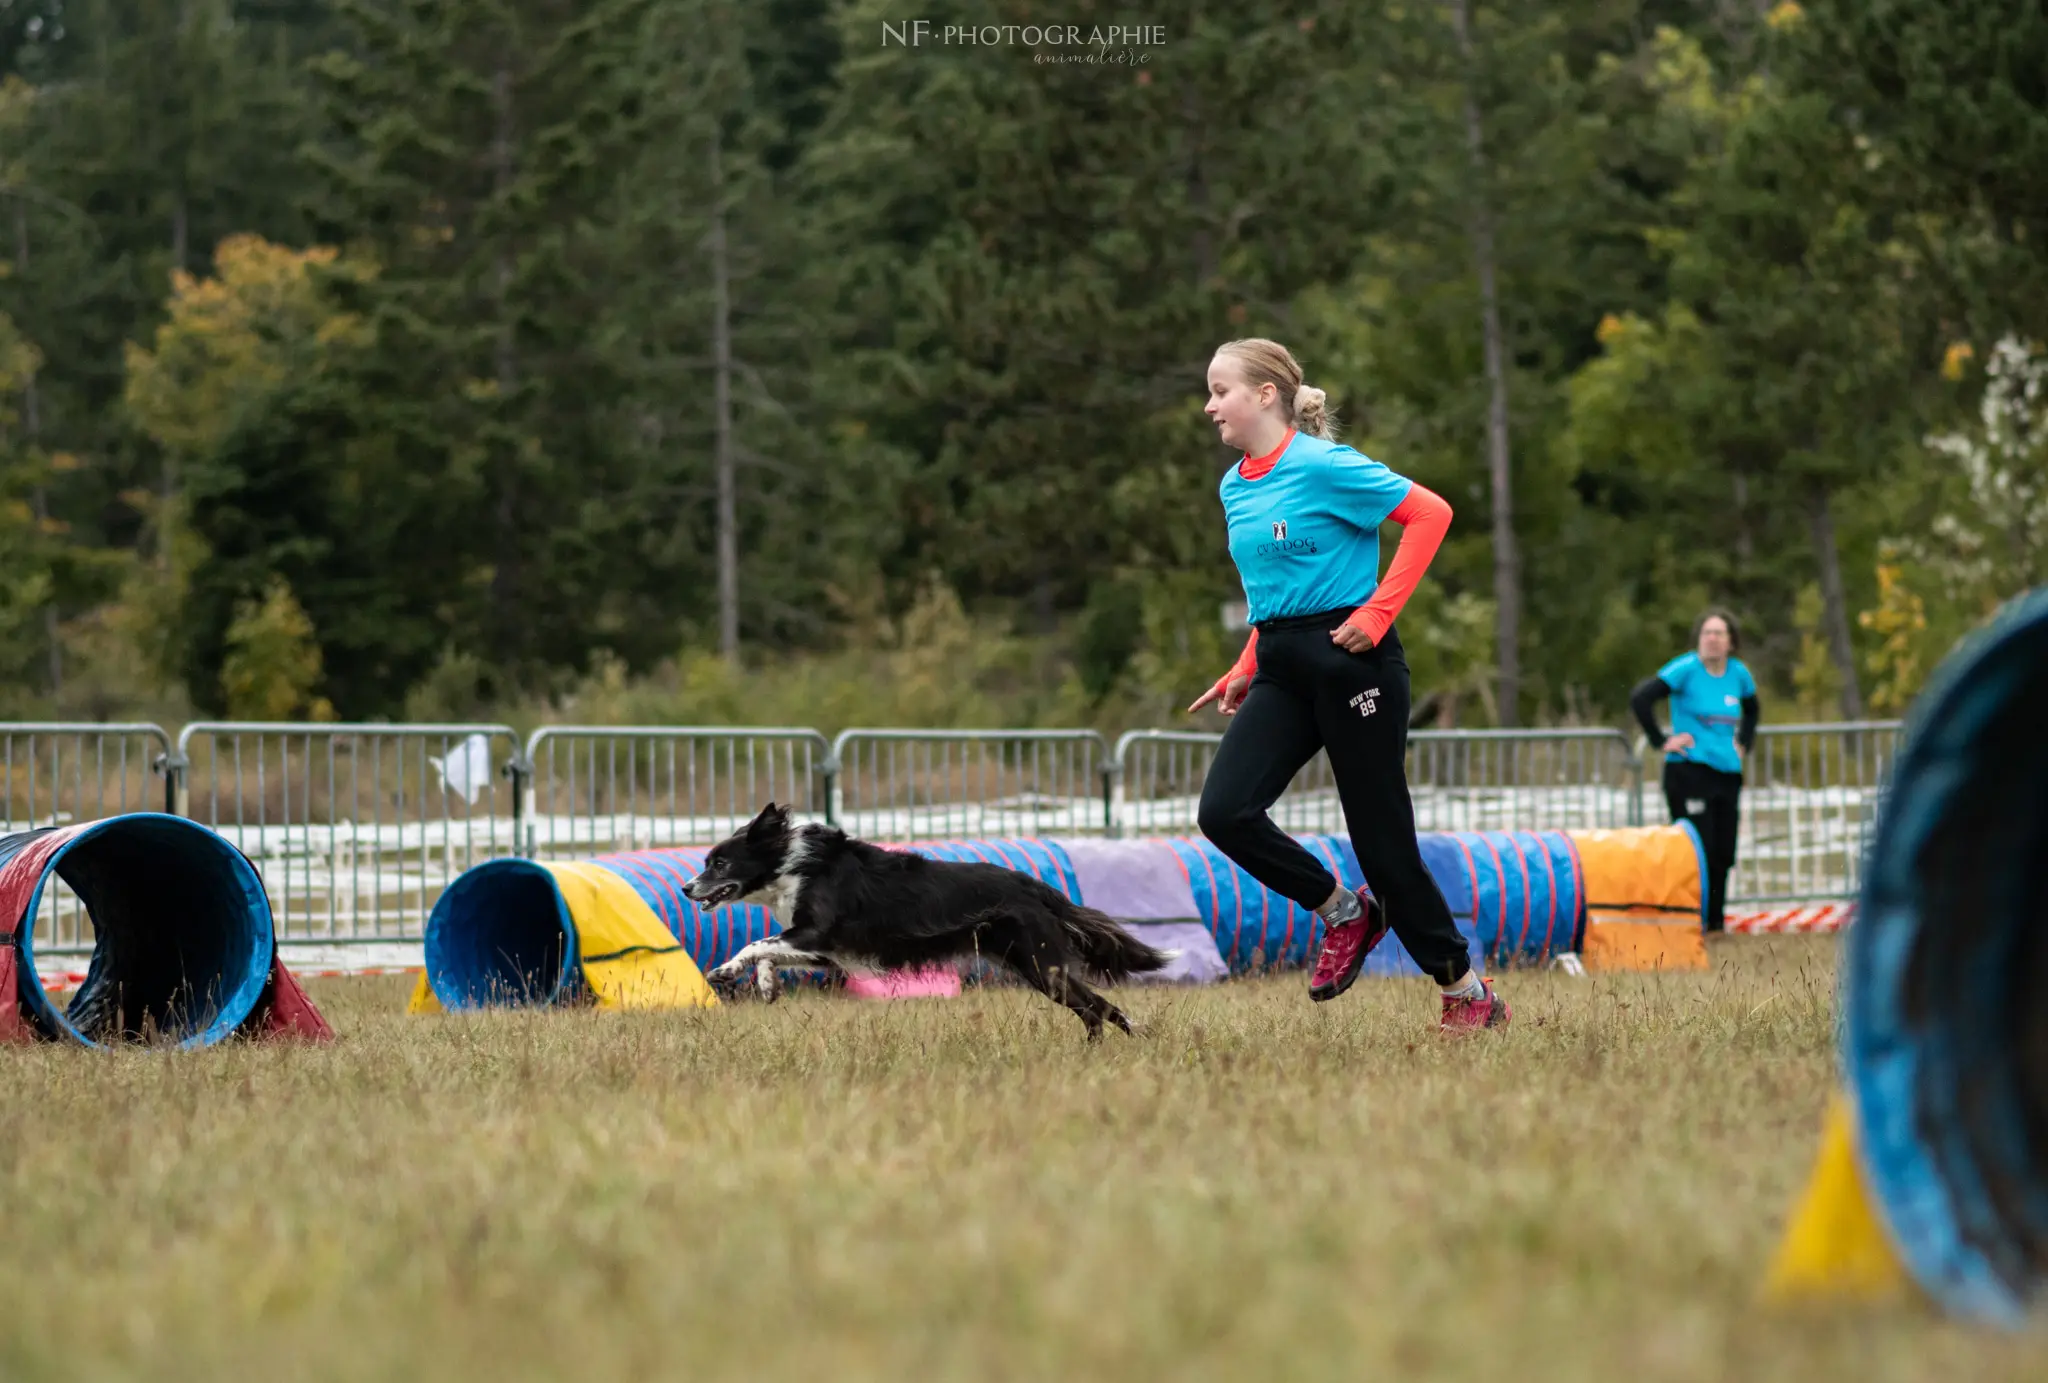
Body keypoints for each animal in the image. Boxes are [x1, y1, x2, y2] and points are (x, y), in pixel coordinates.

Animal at [679, 799, 1171, 1040]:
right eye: (706, 861)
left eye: (719, 864)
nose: (685, 888)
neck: (790, 865)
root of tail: (1033, 885)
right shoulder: (824, 949)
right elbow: (769, 950)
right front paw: (766, 985)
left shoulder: (817, 933)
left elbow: (756, 943)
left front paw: (723, 970)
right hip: (1036, 966)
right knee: (1098, 1008)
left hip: (1041, 966)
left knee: (1097, 1006)